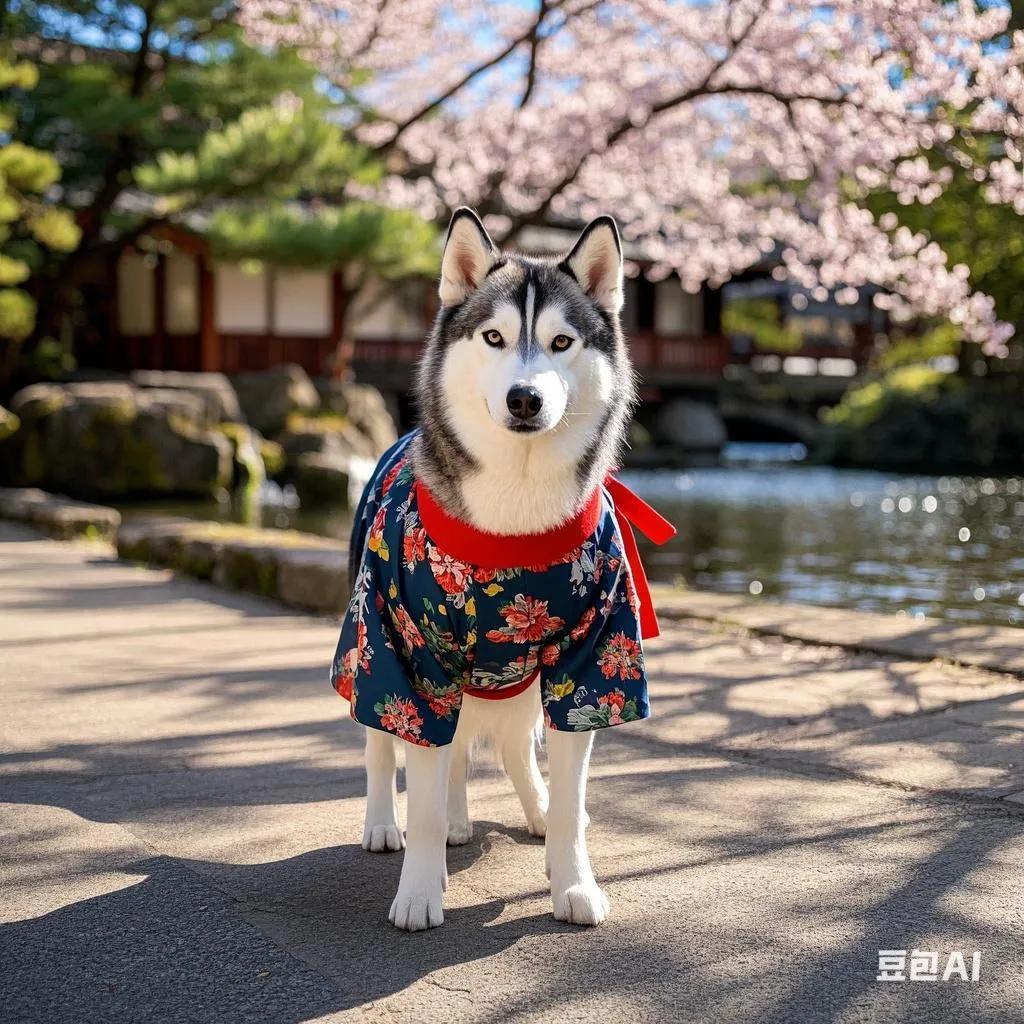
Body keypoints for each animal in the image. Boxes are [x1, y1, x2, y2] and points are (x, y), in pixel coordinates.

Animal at [356, 207, 634, 929]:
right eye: (493, 337)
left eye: (562, 342)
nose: (524, 398)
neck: (515, 516)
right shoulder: (410, 657)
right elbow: (422, 788)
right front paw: (419, 893)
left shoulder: (590, 658)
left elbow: (569, 789)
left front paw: (574, 880)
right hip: (367, 649)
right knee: (385, 749)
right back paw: (385, 824)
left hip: (518, 684)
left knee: (504, 746)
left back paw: (531, 810)